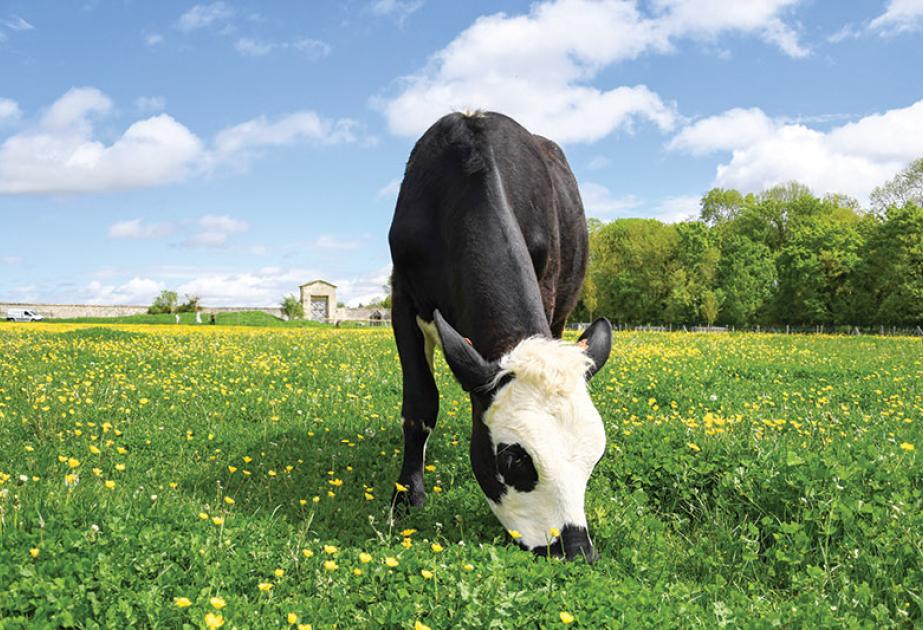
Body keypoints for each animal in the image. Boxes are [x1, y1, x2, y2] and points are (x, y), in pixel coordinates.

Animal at [388, 110, 612, 564]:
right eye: (514, 461)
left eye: (595, 458)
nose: (576, 548)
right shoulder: (401, 297)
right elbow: (419, 405)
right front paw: (407, 495)